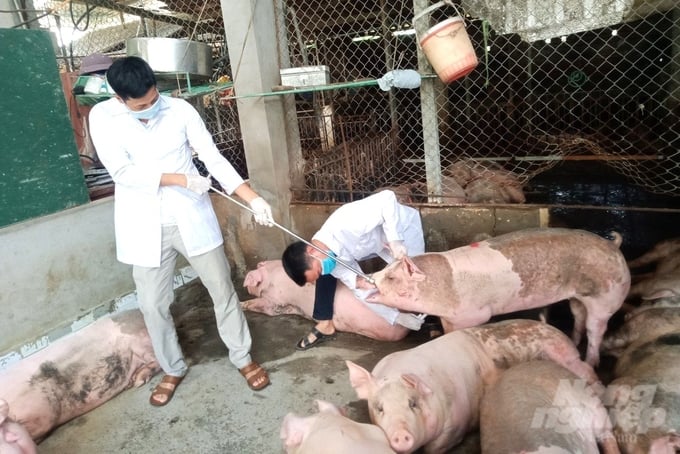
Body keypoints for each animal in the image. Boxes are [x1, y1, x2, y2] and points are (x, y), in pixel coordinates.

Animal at [348, 320, 596, 454]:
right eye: (380, 408)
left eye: (413, 403)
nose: (400, 435)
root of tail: (559, 332)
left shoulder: (453, 428)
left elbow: (436, 447)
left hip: (566, 357)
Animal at [364, 227, 628, 366]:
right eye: (386, 269)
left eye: (391, 277)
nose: (367, 277)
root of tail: (614, 246)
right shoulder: (450, 317)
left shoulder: (474, 314)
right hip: (578, 297)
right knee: (579, 316)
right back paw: (573, 341)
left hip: (606, 296)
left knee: (596, 329)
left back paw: (591, 362)